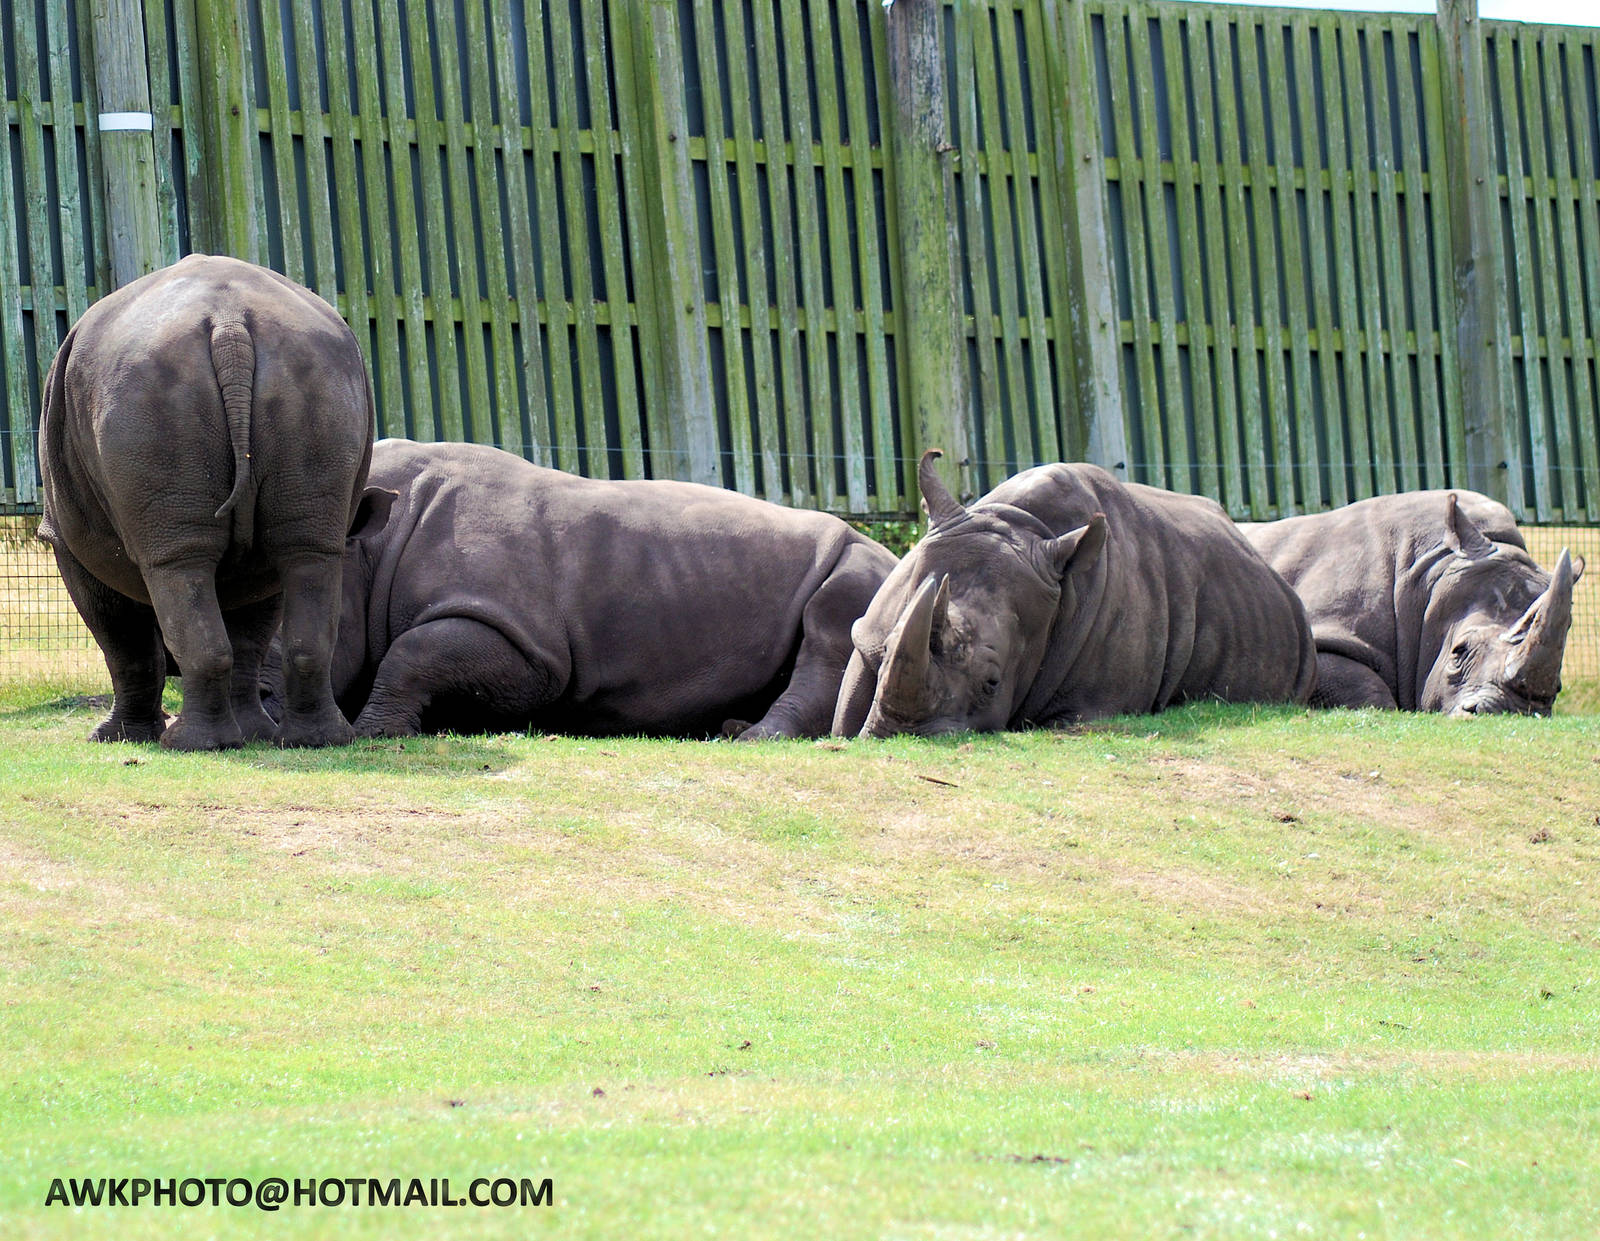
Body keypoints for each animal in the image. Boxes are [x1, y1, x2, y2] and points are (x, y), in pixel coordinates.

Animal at [37, 255, 385, 750]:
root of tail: (229, 322)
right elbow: (249, 634)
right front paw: (254, 734)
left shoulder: (65, 541)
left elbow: (122, 640)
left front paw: (113, 739)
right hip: (318, 375)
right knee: (307, 553)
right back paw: (315, 741)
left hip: (145, 388)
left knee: (176, 563)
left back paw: (189, 744)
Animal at [276, 438, 898, 738]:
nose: (263, 712)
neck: (368, 554)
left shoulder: (529, 645)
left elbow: (414, 652)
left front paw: (374, 733)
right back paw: (731, 727)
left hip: (861, 564)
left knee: (831, 627)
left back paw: (749, 739)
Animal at [832, 451, 1317, 736]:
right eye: (886, 647)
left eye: (993, 683)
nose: (899, 735)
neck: (1025, 527)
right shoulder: (866, 638)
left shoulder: (1097, 704)